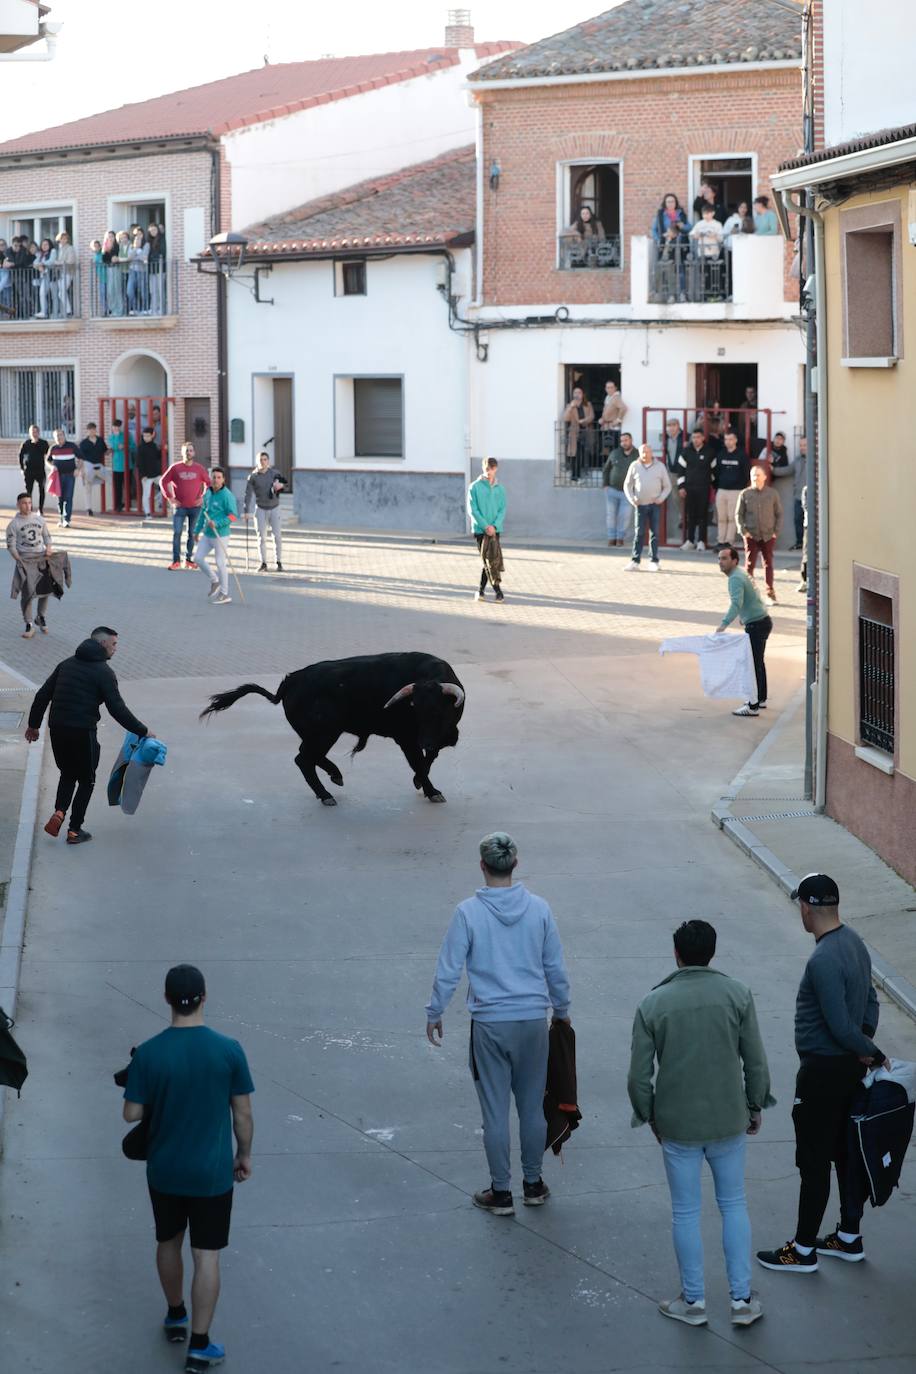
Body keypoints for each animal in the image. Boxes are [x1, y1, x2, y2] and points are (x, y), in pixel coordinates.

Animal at [204, 651, 469, 802]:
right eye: (415, 709)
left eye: (437, 711)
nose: (426, 741)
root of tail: (290, 681)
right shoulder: (406, 738)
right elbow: (419, 762)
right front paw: (430, 789)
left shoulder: (439, 736)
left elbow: (430, 757)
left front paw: (422, 783)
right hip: (325, 733)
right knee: (304, 759)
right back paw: (327, 791)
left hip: (318, 734)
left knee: (307, 757)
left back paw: (334, 777)